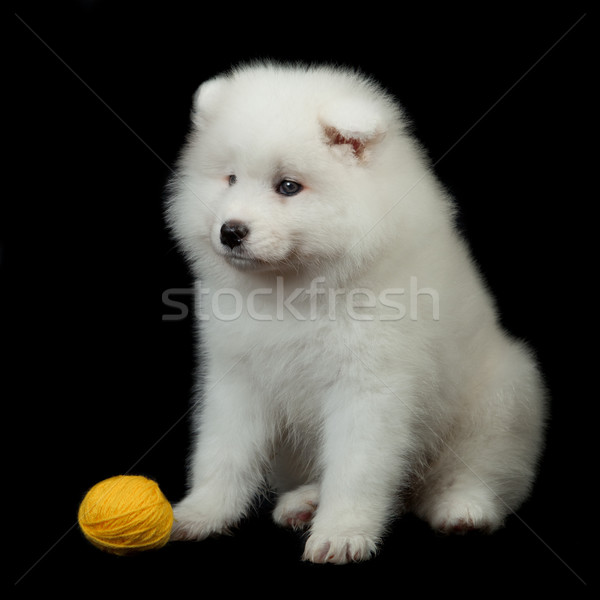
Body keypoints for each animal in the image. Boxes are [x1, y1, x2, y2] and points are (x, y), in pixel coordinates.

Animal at [166, 61, 548, 564]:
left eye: (288, 187)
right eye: (229, 179)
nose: (230, 231)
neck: (293, 290)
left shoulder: (369, 387)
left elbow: (356, 468)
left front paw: (342, 534)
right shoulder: (238, 377)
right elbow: (222, 452)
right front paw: (200, 514)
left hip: (501, 397)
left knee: (483, 470)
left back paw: (463, 509)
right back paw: (305, 502)